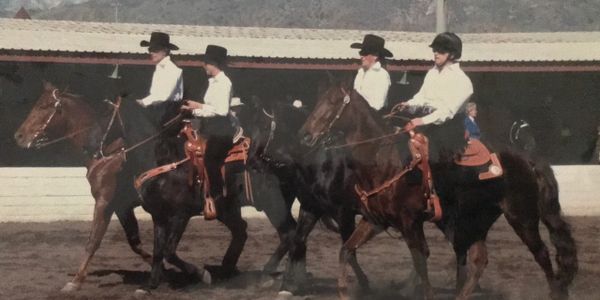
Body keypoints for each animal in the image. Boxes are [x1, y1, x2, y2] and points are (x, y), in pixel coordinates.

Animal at [298, 79, 576, 300]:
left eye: (333, 102)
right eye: (318, 101)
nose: (304, 135)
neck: (384, 160)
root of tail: (526, 158)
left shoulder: (410, 222)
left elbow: (421, 263)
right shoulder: (374, 220)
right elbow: (346, 250)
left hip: (522, 216)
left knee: (542, 254)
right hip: (477, 219)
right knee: (478, 259)